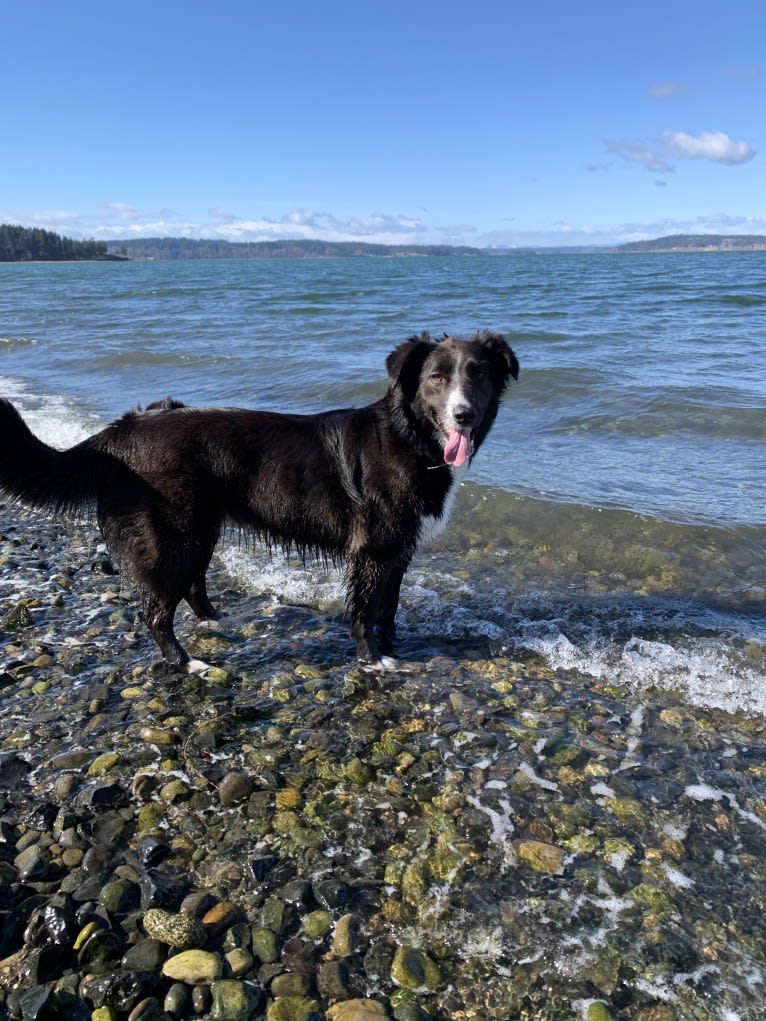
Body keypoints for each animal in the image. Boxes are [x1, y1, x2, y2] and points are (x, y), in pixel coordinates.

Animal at [0, 330, 518, 669]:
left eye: (479, 375)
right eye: (436, 378)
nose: (464, 415)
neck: (410, 437)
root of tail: (122, 430)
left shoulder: (399, 550)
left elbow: (388, 607)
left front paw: (393, 648)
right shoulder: (372, 551)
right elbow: (365, 610)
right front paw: (372, 659)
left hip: (202, 528)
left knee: (193, 586)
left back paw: (215, 622)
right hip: (171, 536)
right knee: (154, 610)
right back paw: (186, 662)